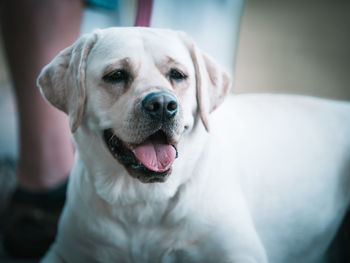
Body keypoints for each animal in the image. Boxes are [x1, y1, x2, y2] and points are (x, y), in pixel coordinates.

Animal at [38, 27, 350, 262]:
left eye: (177, 74)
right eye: (116, 75)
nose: (162, 105)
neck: (142, 201)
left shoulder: (239, 252)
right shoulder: (67, 250)